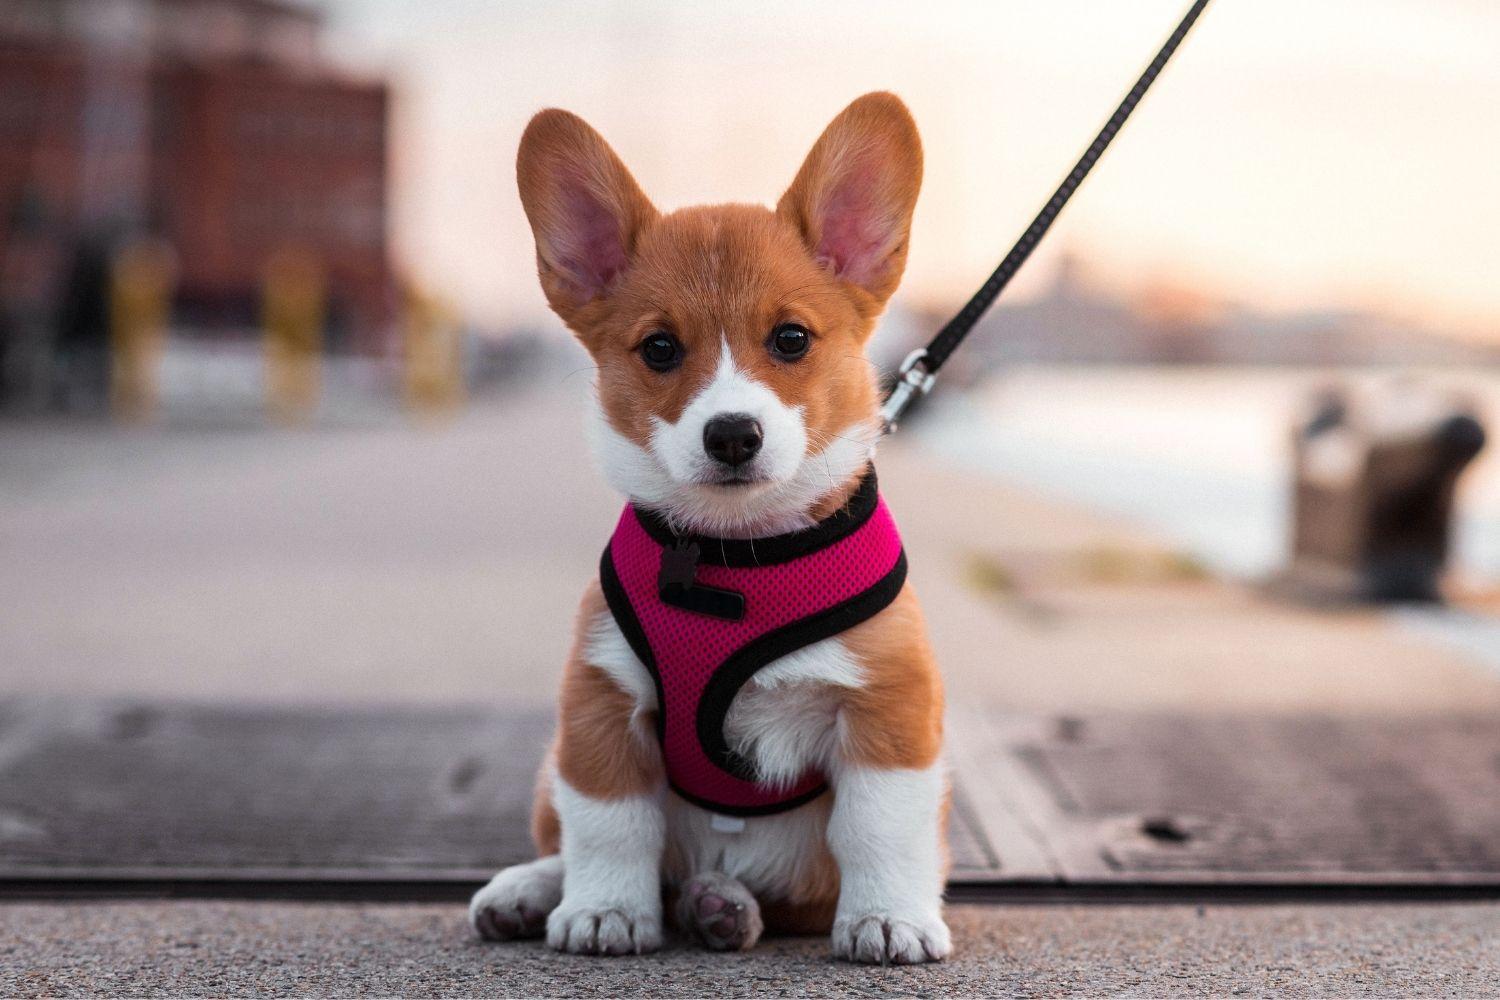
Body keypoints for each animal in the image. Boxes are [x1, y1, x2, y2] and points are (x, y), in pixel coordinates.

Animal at [468, 91, 942, 959]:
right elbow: (611, 823)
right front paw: (605, 910)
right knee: (575, 842)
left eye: (791, 338)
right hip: (551, 768)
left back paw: (720, 903)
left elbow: (880, 827)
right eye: (660, 348)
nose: (731, 435)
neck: (737, 551)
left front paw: (889, 918)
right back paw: (537, 892)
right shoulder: (600, 702)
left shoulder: (889, 708)